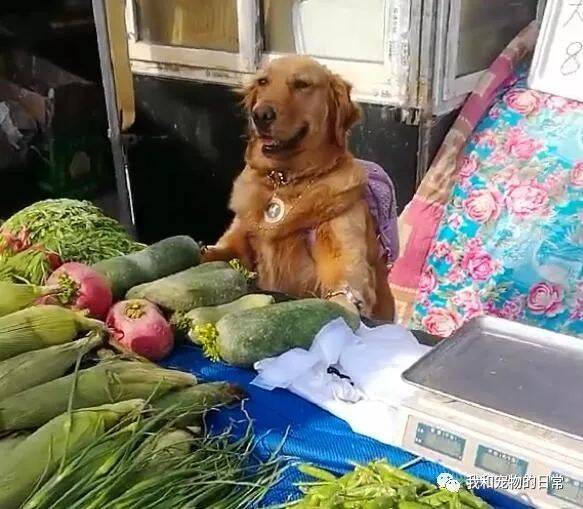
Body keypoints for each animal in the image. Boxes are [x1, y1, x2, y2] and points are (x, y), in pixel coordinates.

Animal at [203, 54, 394, 318]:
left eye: (302, 84)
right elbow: (218, 253)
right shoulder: (237, 236)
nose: (260, 114)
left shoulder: (344, 259)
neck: (285, 180)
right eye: (263, 82)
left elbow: (345, 291)